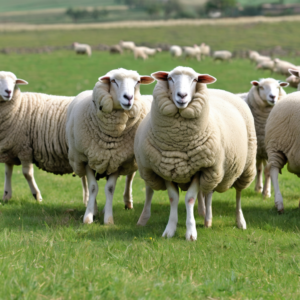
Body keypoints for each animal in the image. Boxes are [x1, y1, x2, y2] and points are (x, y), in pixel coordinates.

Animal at [0, 72, 89, 205]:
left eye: (14, 82)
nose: (8, 91)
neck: (19, 106)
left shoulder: (24, 148)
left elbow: (27, 174)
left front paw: (37, 196)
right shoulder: (10, 147)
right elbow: (7, 172)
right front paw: (6, 196)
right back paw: (87, 200)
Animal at [66, 67, 155, 223]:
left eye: (138, 82)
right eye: (113, 81)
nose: (128, 97)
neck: (111, 134)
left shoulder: (116, 161)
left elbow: (110, 188)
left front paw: (108, 219)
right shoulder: (87, 159)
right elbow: (93, 187)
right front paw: (88, 217)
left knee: (129, 178)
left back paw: (126, 202)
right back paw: (95, 209)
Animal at [135, 67, 256, 240]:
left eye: (195, 80)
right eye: (170, 78)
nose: (182, 96)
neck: (178, 142)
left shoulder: (200, 168)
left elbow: (190, 198)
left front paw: (191, 232)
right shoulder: (168, 169)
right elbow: (173, 198)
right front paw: (169, 230)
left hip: (243, 166)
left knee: (238, 194)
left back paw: (240, 221)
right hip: (215, 170)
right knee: (209, 192)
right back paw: (207, 219)